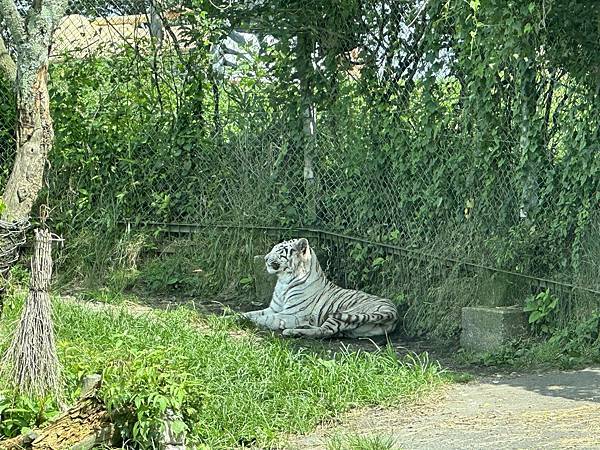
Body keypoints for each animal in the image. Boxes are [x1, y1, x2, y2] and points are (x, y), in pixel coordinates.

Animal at [241, 239, 396, 338]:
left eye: (279, 251)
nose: (265, 258)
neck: (283, 281)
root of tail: (392, 310)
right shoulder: (274, 308)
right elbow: (252, 313)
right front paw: (237, 316)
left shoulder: (293, 314)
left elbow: (267, 318)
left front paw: (246, 321)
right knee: (330, 332)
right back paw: (300, 329)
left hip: (345, 314)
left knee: (325, 331)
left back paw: (292, 331)